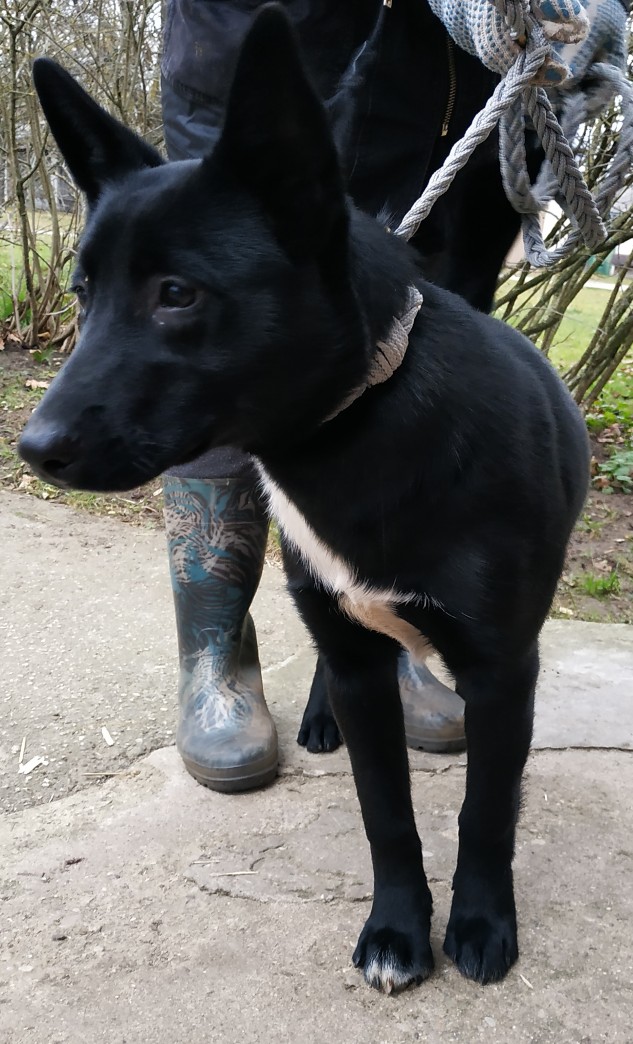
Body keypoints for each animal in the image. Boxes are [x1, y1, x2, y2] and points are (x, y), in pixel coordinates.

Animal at [20, 4, 589, 994]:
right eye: (83, 294)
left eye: (176, 294)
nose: (34, 448)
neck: (370, 418)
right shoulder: (353, 645)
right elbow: (384, 815)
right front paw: (397, 930)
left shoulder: (502, 671)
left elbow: (485, 812)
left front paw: (481, 924)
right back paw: (323, 717)